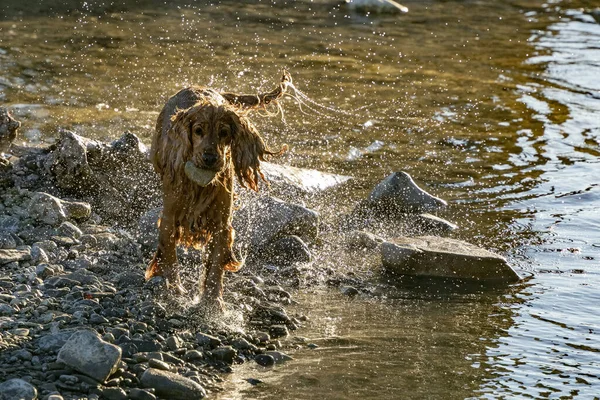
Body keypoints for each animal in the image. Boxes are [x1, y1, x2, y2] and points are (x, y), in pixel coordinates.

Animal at [143, 72, 288, 310]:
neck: (200, 184)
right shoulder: (170, 216)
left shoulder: (221, 223)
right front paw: (176, 289)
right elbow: (169, 254)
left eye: (224, 133)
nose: (210, 158)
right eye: (198, 131)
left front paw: (213, 300)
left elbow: (216, 265)